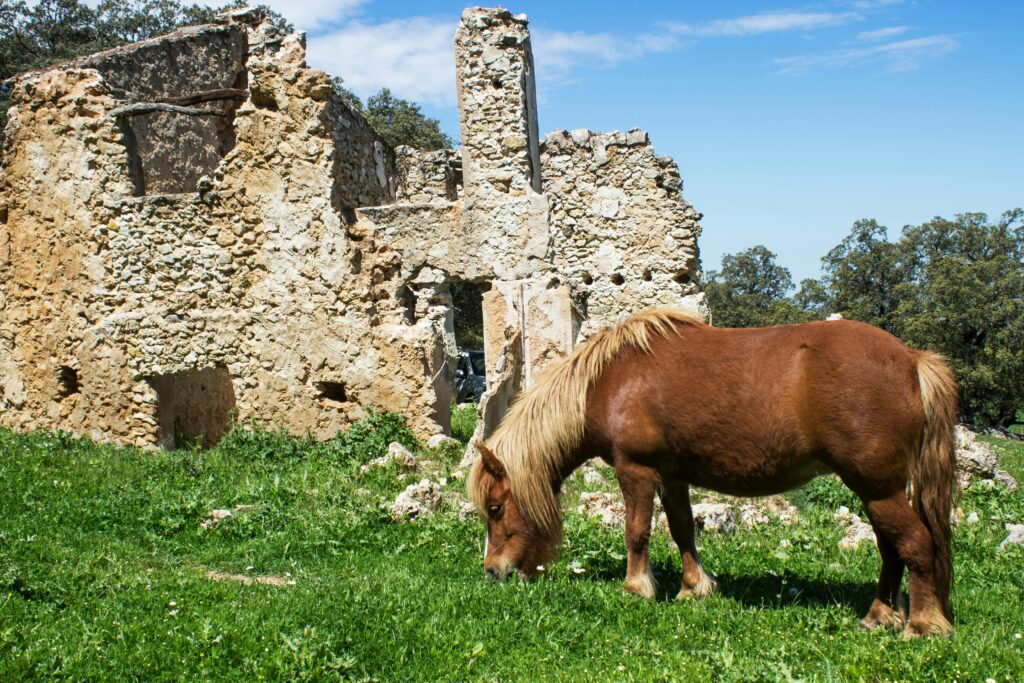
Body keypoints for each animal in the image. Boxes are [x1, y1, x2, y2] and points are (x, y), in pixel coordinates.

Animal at [468, 308, 959, 638]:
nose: (492, 572)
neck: (607, 383)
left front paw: (637, 587)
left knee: (915, 544)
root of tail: (912, 360)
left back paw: (921, 625)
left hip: (877, 489)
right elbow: (683, 529)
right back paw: (878, 616)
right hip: (877, 491)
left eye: (496, 509)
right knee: (891, 550)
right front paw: (694, 588)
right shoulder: (673, 476)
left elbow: (637, 531)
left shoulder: (636, 472)